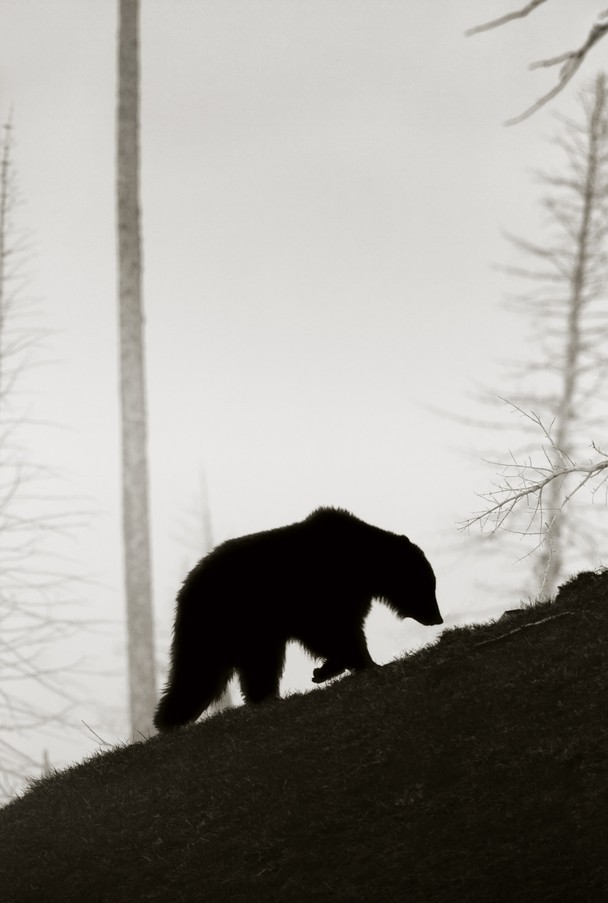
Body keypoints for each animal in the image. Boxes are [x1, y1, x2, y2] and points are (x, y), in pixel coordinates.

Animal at [152, 504, 442, 732]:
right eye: (429, 586)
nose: (437, 618)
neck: (362, 567)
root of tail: (185, 588)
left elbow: (340, 630)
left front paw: (330, 668)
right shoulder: (318, 594)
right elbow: (332, 631)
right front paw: (358, 664)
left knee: (251, 665)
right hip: (225, 618)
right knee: (202, 668)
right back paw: (169, 718)